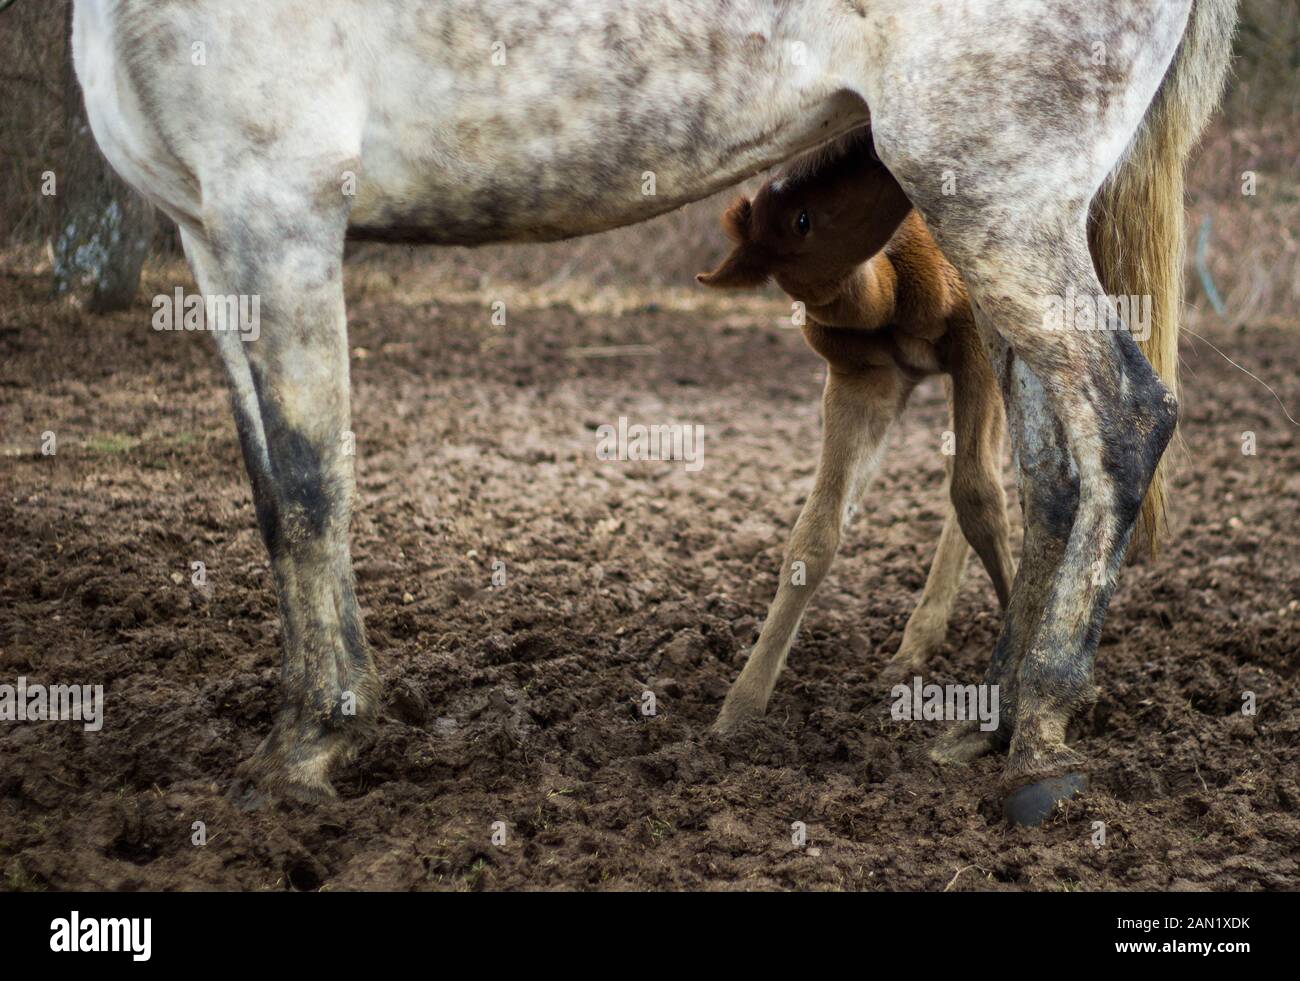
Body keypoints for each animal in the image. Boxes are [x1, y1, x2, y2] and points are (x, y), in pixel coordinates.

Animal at [65, 0, 1232, 815]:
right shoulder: (211, 234)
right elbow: (271, 495)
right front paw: (308, 726)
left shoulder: (279, 209)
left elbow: (311, 483)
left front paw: (308, 743)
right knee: (1052, 470)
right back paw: (988, 723)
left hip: (997, 196)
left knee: (1123, 419)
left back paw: (1040, 740)